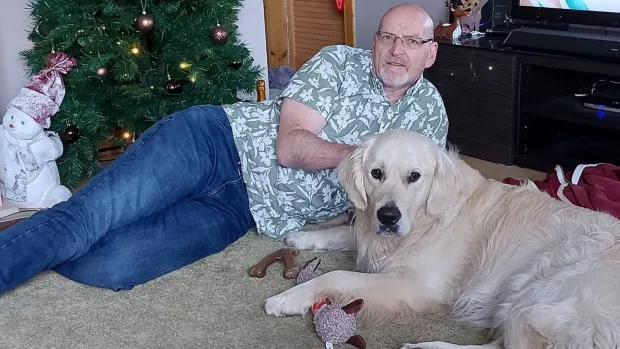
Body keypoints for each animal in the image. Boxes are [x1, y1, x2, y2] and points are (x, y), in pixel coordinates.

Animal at [264, 130, 620, 348]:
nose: (388, 217)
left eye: (414, 176)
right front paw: (303, 237)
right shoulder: (373, 235)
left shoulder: (413, 284)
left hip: (537, 296)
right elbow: (343, 232)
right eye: (376, 173)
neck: (426, 219)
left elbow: (337, 275)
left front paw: (288, 298)